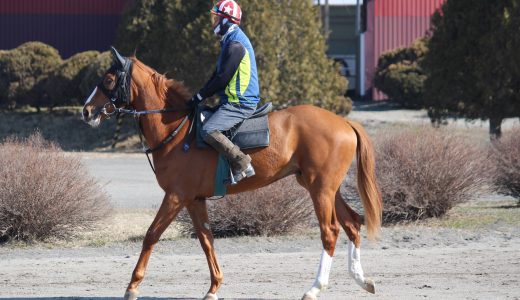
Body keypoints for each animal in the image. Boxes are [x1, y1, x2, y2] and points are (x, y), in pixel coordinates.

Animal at [82, 49, 382, 300]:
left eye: (108, 79)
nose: (86, 111)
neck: (177, 130)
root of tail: (344, 122)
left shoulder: (176, 196)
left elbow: (151, 235)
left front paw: (133, 286)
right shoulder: (194, 200)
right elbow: (206, 240)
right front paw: (214, 287)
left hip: (320, 190)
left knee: (330, 232)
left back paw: (315, 288)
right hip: (326, 188)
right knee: (352, 223)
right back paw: (362, 279)